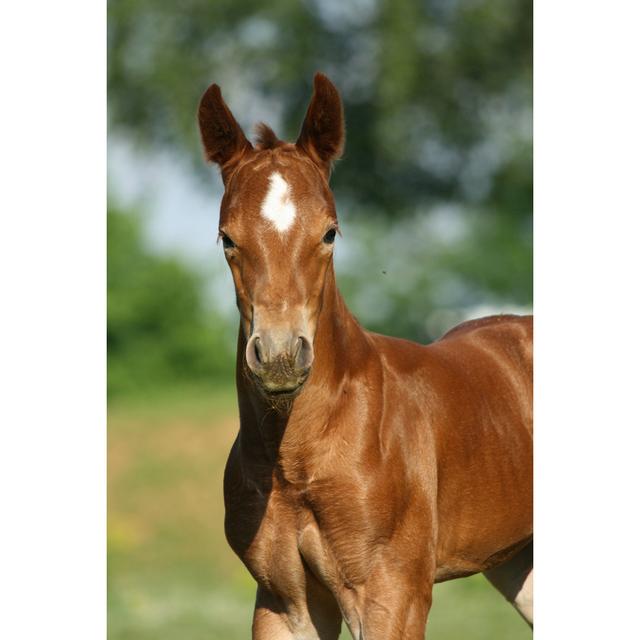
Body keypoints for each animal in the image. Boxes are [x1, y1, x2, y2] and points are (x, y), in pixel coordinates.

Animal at [198, 74, 532, 640]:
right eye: (227, 239)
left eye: (330, 232)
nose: (281, 356)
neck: (296, 463)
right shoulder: (283, 603)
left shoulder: (393, 597)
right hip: (518, 563)